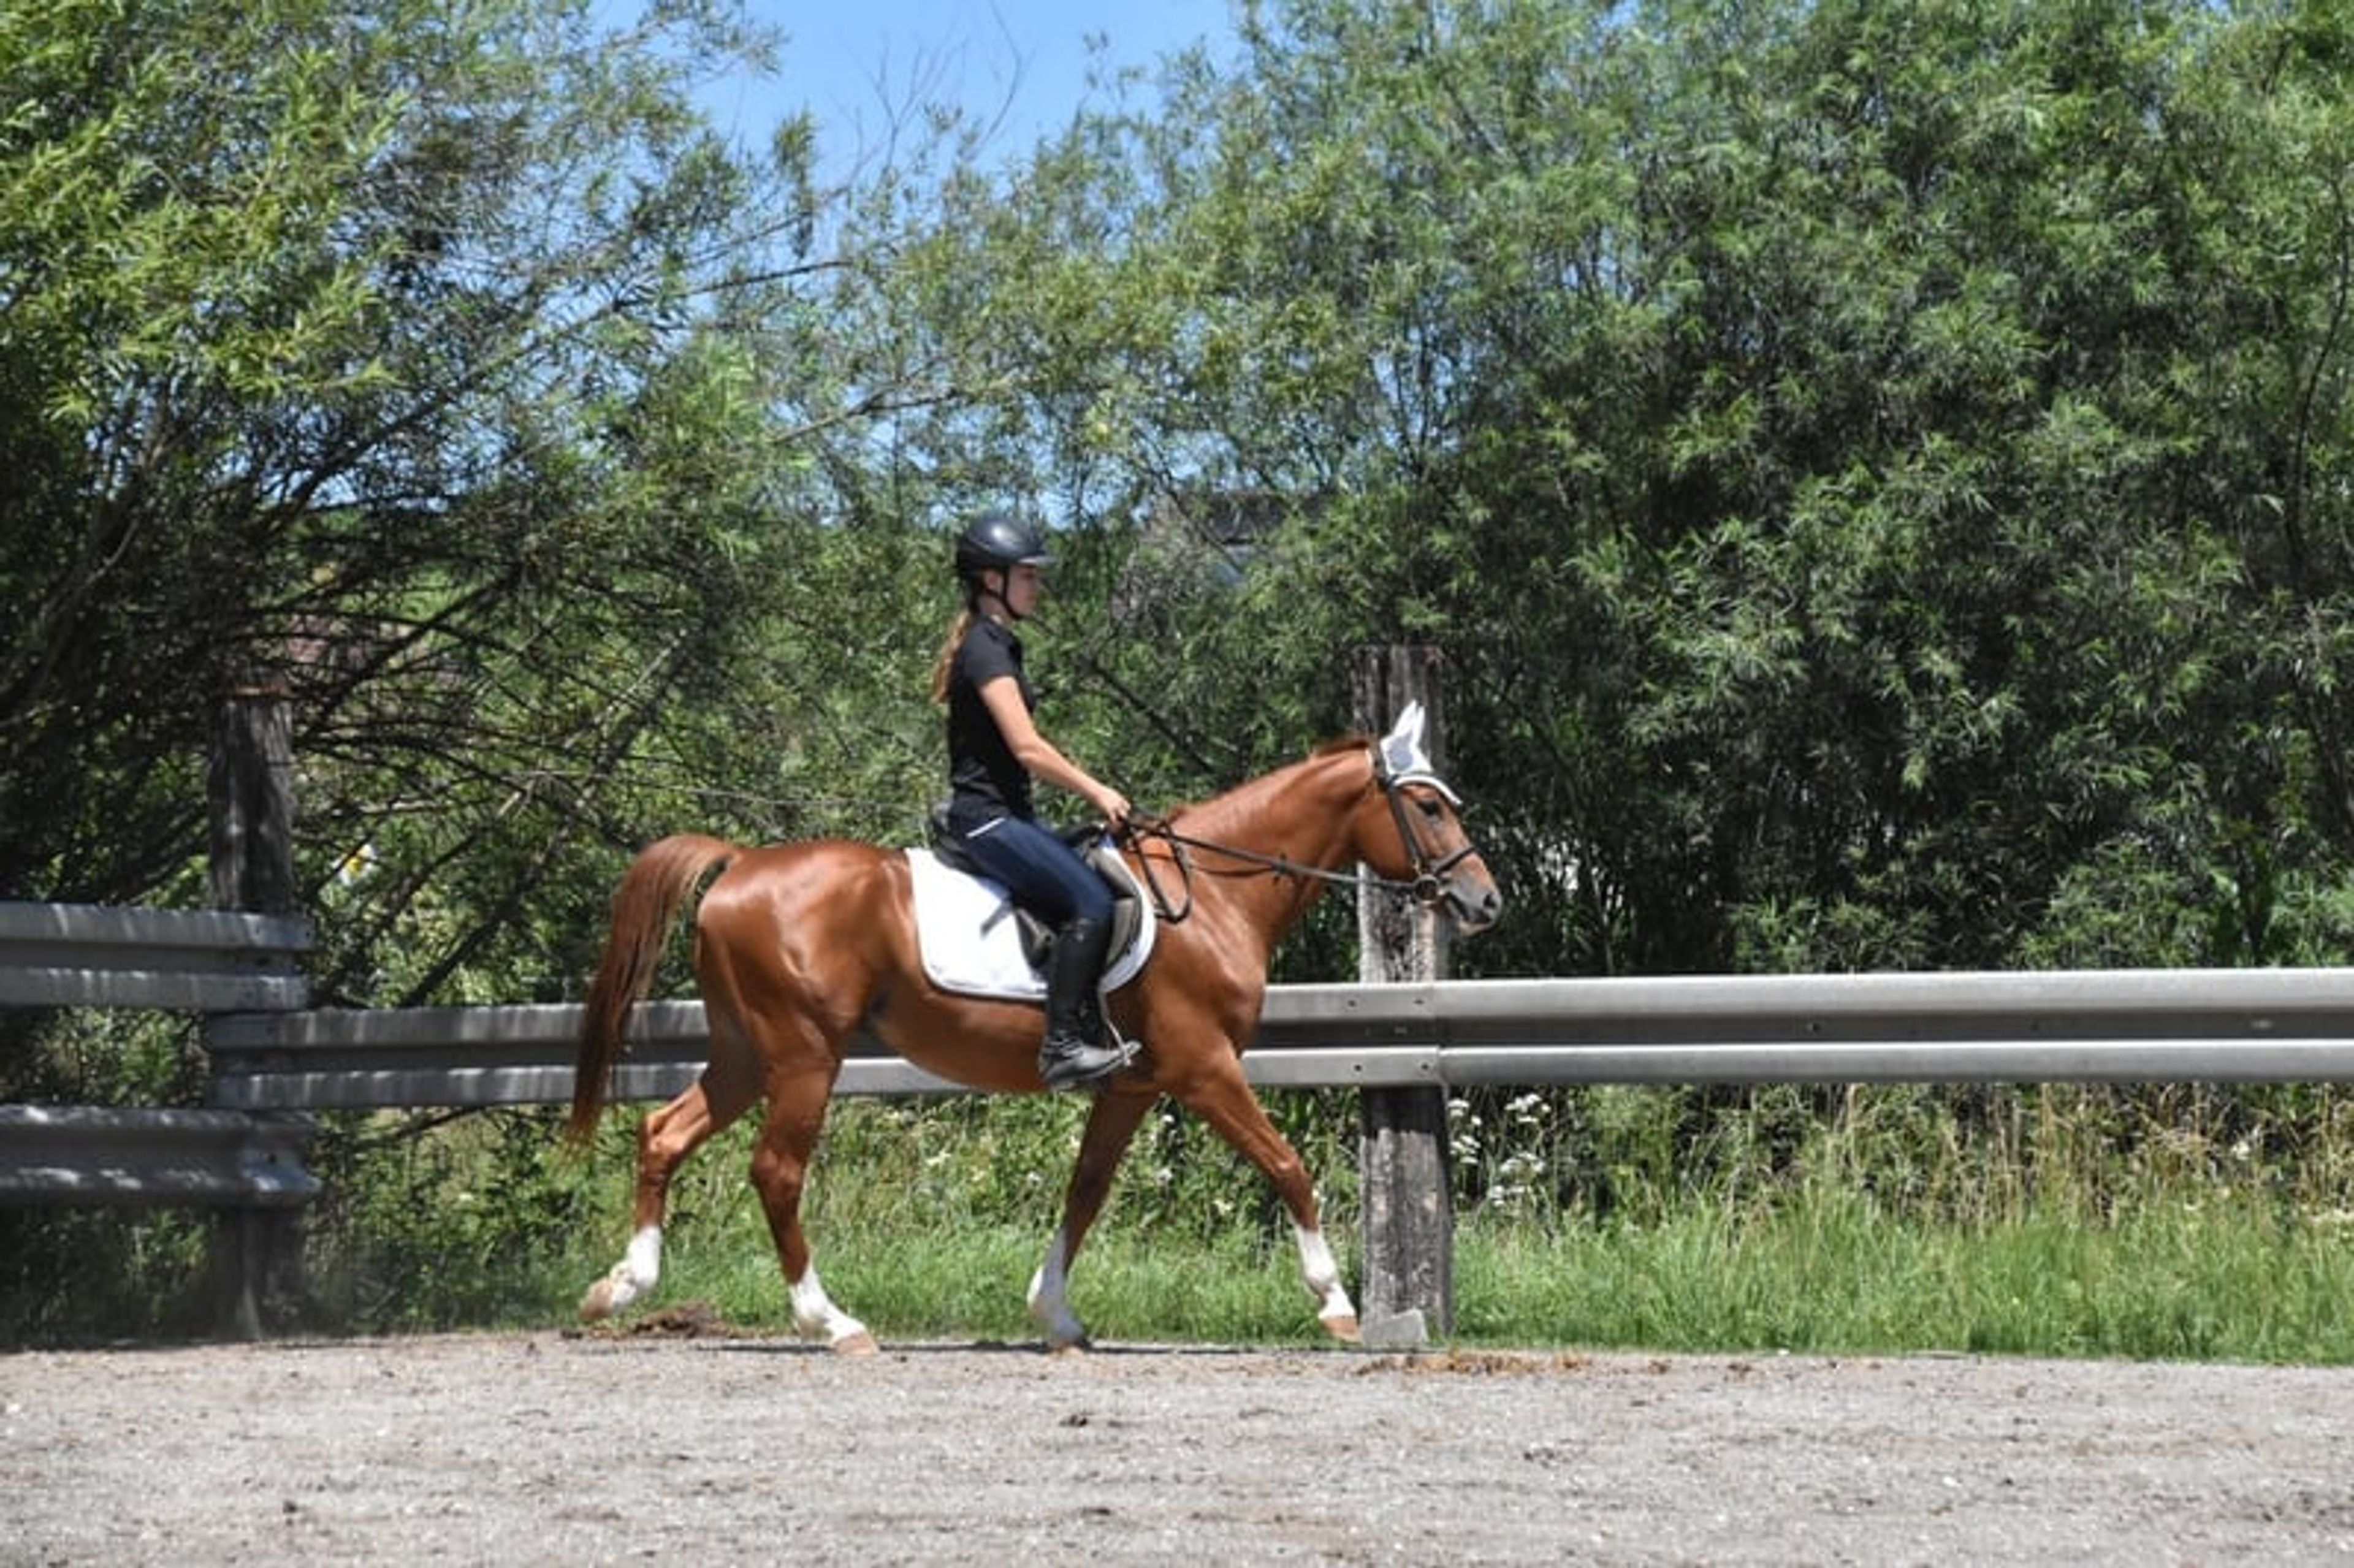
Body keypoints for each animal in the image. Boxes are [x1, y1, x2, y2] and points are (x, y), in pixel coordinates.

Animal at [566, 706, 1502, 1352]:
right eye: (1428, 806)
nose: (1484, 900)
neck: (1214, 891)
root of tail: (740, 865)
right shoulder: (1204, 1069)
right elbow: (1287, 1166)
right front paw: (1338, 1304)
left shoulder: (1133, 1085)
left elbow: (1084, 1190)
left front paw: (1055, 1314)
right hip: (803, 1056)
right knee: (776, 1171)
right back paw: (831, 1321)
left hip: (745, 1052)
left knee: (664, 1132)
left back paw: (621, 1286)